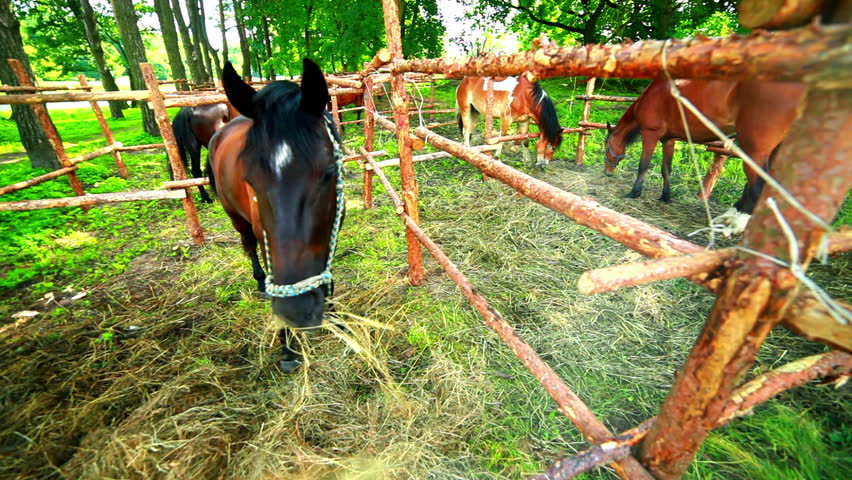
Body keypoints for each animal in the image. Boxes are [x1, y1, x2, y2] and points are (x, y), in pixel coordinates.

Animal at [206, 59, 345, 372]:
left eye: (329, 172)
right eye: (250, 180)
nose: (297, 312)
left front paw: (331, 311)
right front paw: (287, 346)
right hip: (236, 217)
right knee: (248, 246)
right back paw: (260, 282)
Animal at [603, 79, 805, 235]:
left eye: (606, 147)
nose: (607, 172)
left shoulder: (650, 134)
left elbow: (643, 166)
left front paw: (634, 193)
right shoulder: (669, 140)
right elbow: (666, 170)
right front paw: (665, 196)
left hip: (754, 151)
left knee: (758, 186)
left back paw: (737, 225)